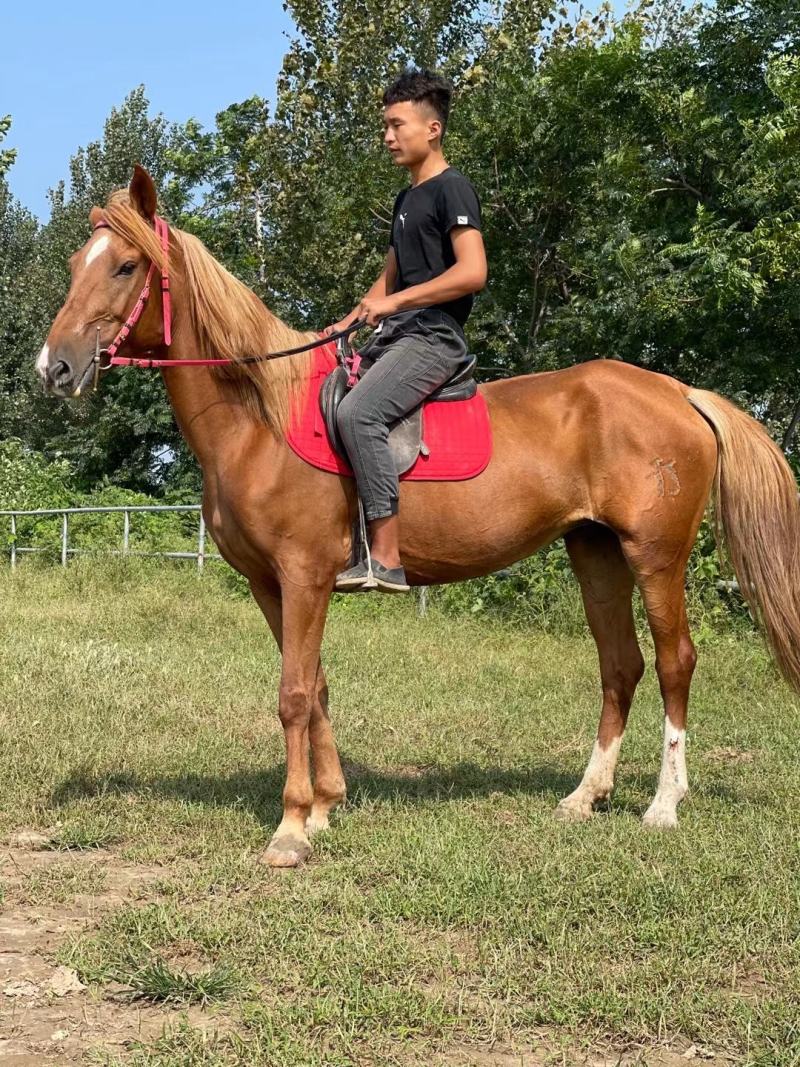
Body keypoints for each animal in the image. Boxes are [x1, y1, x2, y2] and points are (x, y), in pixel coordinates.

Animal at [36, 165, 800, 867]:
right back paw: (587, 795)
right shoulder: (269, 584)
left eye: (126, 265)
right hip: (595, 550)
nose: (55, 368)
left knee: (675, 661)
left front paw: (291, 828)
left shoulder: (305, 575)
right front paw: (326, 806)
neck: (259, 417)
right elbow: (317, 685)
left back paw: (664, 803)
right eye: (75, 265)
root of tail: (679, 392)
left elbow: (293, 692)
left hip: (655, 554)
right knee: (621, 665)